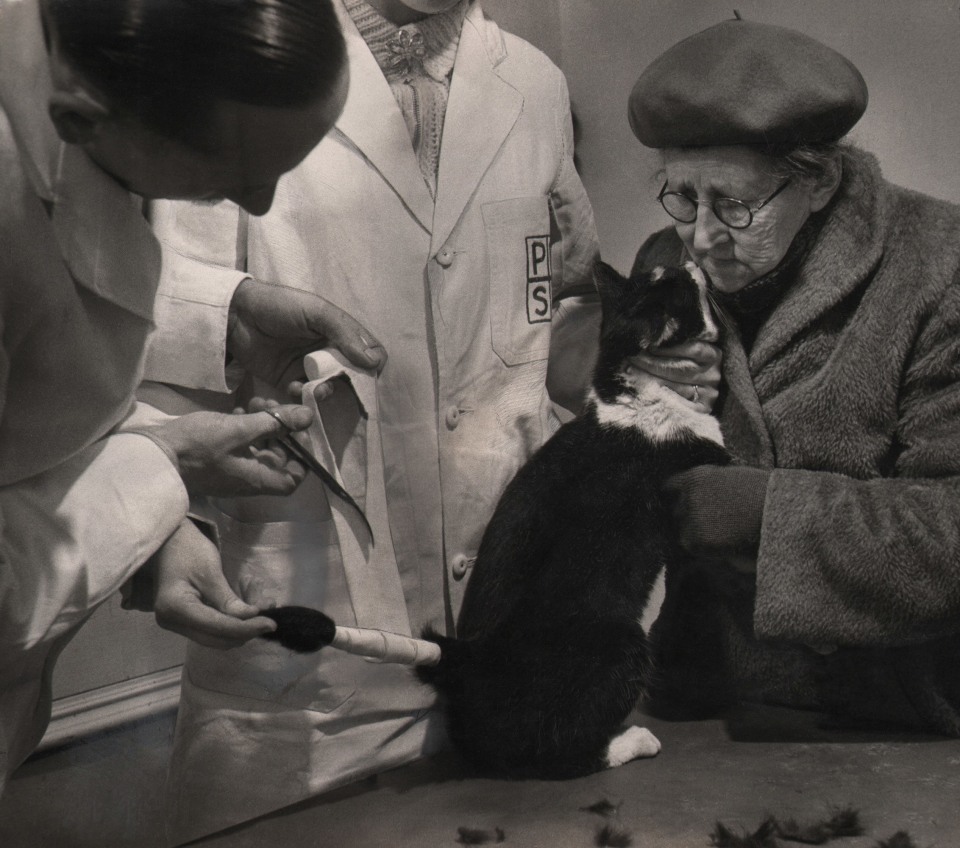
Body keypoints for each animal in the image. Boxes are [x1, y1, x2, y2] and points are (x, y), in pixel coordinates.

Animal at [416, 262, 732, 780]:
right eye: (683, 289)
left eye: (660, 274)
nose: (691, 263)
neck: (627, 394)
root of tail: (467, 663)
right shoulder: (709, 453)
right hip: (625, 643)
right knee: (564, 753)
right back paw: (633, 740)